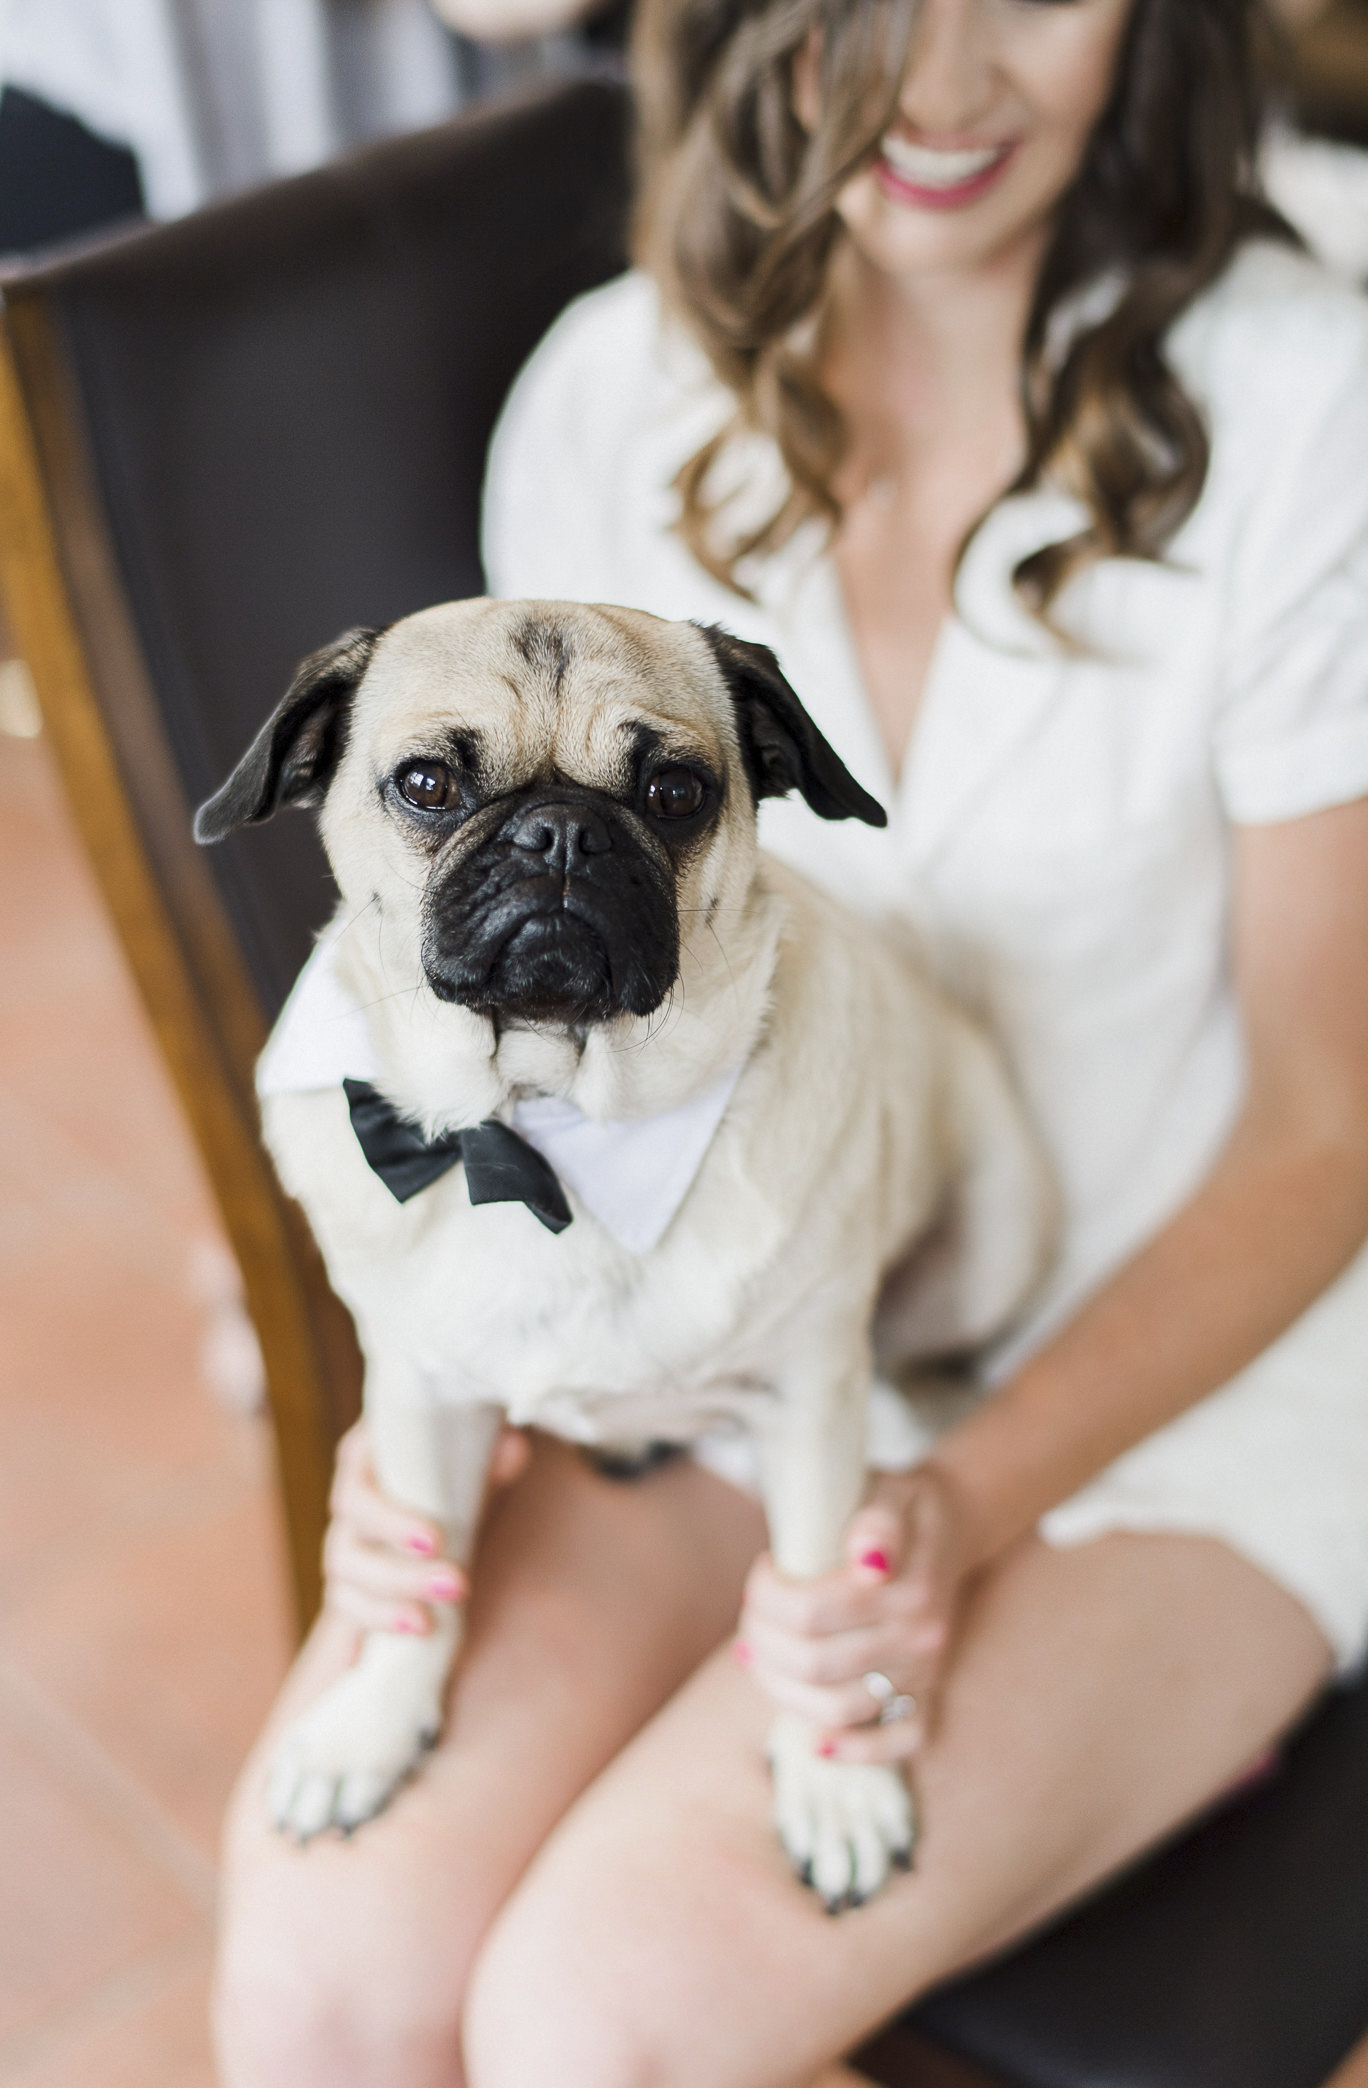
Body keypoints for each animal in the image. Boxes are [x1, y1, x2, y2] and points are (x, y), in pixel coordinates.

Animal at [195, 601, 1048, 1912]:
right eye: (428, 784)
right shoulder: (420, 1396)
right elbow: (420, 1590)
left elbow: (817, 1603)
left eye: (676, 791)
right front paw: (373, 1727)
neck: (549, 1133)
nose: (560, 832)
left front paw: (839, 1785)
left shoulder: (810, 1405)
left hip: (997, 1230)